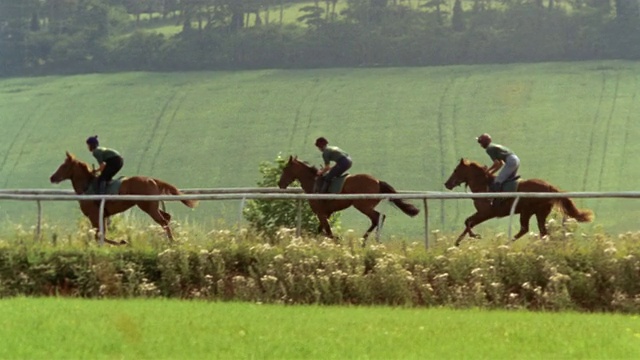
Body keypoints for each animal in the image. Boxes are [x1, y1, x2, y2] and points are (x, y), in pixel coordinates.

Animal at [50, 152, 198, 245]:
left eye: (63, 166)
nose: (52, 177)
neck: (87, 187)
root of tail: (151, 179)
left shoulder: (94, 215)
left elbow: (99, 235)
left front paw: (122, 242)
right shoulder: (102, 215)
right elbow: (100, 234)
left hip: (148, 206)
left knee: (163, 221)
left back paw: (172, 241)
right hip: (151, 205)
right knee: (166, 217)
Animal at [276, 156, 420, 243]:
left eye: (285, 168)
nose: (279, 184)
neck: (313, 183)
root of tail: (378, 181)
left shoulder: (321, 213)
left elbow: (327, 232)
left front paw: (337, 239)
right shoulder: (326, 213)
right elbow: (320, 231)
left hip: (362, 205)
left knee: (378, 217)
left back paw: (366, 240)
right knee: (378, 218)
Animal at [442, 158, 592, 245]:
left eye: (456, 170)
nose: (447, 184)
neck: (483, 185)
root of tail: (550, 186)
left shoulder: (486, 213)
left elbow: (468, 222)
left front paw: (475, 236)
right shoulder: (482, 213)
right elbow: (468, 222)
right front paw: (458, 242)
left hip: (527, 211)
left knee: (525, 229)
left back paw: (507, 243)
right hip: (539, 213)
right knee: (542, 232)